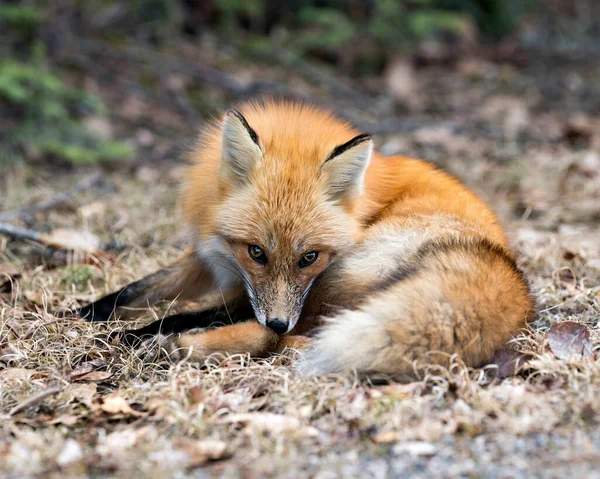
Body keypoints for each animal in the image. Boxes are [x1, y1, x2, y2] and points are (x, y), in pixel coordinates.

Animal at [81, 101, 536, 378]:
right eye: (256, 252)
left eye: (309, 257)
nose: (279, 319)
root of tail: (507, 267)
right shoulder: (212, 257)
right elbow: (134, 290)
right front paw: (83, 314)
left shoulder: (255, 296)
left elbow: (184, 313)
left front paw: (131, 334)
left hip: (335, 283)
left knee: (277, 339)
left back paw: (178, 347)